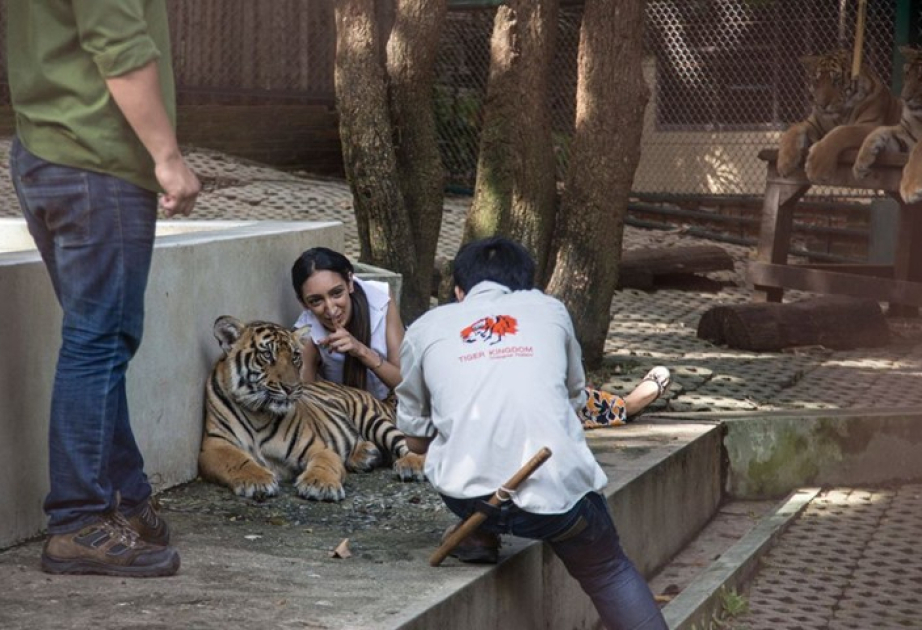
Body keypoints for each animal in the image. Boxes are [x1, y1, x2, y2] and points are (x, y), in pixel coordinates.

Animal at [198, 315, 426, 501]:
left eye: (295, 357)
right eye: (267, 355)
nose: (291, 388)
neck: (259, 413)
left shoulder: (318, 446)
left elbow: (325, 463)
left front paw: (320, 485)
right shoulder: (214, 444)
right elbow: (237, 460)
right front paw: (257, 479)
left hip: (372, 418)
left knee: (407, 444)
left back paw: (412, 465)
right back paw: (366, 455)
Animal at [776, 50, 900, 178]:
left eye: (836, 80)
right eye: (816, 81)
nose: (822, 105)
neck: (841, 114)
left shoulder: (871, 125)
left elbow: (842, 131)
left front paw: (817, 166)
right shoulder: (813, 123)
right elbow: (793, 129)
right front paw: (785, 162)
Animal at [851, 46, 922, 203]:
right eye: (907, 74)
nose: (905, 98)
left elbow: (918, 150)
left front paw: (910, 187)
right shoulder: (907, 132)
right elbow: (879, 131)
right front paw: (860, 164)